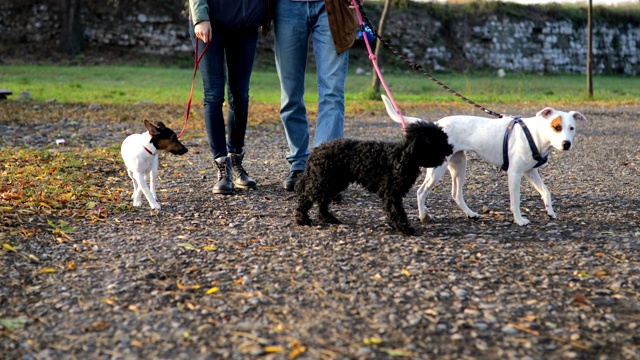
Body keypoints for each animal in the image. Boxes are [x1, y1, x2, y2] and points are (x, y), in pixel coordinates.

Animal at [382, 95, 588, 225]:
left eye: (571, 128)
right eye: (556, 127)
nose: (566, 144)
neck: (535, 134)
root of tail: (435, 126)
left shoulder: (531, 172)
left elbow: (546, 192)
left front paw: (550, 211)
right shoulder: (515, 174)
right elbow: (516, 200)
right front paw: (519, 220)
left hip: (459, 165)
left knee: (456, 194)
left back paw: (471, 214)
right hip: (437, 167)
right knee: (421, 192)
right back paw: (424, 216)